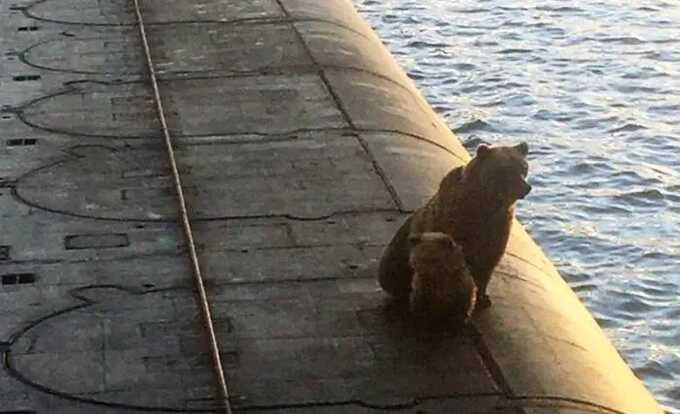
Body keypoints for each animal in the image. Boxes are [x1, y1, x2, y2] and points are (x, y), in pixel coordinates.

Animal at [378, 142, 532, 308]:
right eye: (505, 169)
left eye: (523, 167)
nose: (526, 188)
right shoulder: (452, 222)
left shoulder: (497, 229)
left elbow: (487, 265)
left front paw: (483, 298)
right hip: (395, 258)